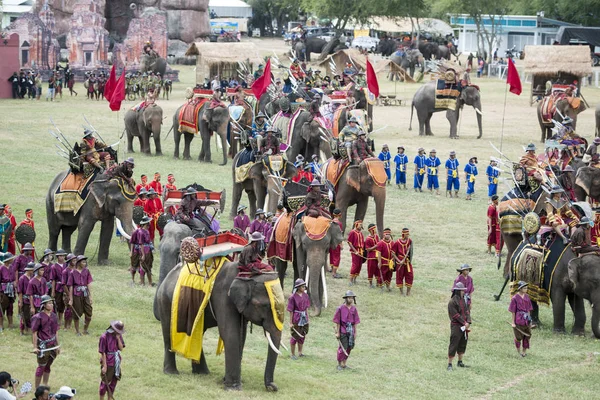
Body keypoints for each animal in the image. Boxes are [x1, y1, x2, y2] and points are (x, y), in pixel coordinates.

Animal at [152, 223, 284, 392]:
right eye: (263, 305)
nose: (273, 387)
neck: (244, 274)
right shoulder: (223, 297)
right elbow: (230, 333)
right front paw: (233, 387)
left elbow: (241, 335)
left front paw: (226, 381)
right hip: (166, 302)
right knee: (169, 333)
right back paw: (172, 373)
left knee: (197, 333)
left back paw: (202, 373)